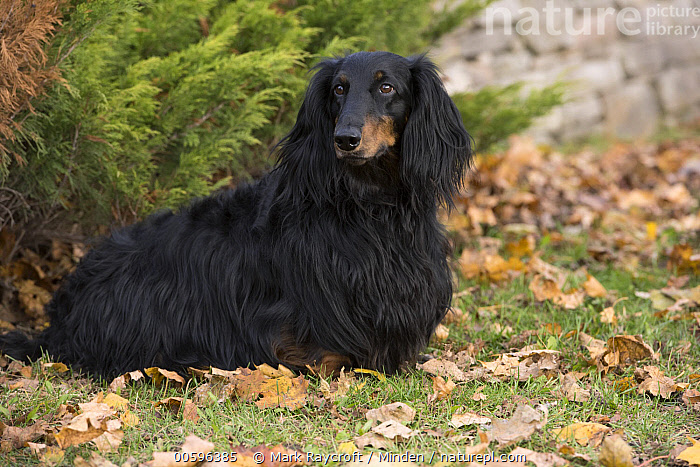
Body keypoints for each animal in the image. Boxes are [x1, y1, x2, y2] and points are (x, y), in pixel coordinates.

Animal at [0, 52, 474, 380]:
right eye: (338, 89)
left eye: (387, 88)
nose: (344, 139)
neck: (369, 206)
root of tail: (56, 322)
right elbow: (327, 357)